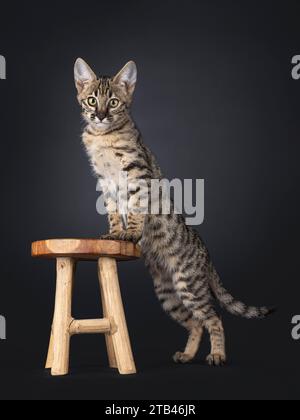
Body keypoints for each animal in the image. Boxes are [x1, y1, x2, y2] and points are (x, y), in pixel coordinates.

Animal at [74, 58, 274, 364]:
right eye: (92, 100)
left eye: (114, 102)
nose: (100, 116)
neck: (102, 137)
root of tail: (206, 253)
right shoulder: (104, 182)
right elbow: (113, 210)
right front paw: (114, 233)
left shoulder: (137, 172)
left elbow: (135, 207)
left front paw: (130, 234)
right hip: (167, 291)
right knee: (196, 322)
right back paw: (188, 355)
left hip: (188, 284)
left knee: (213, 318)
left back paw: (217, 355)